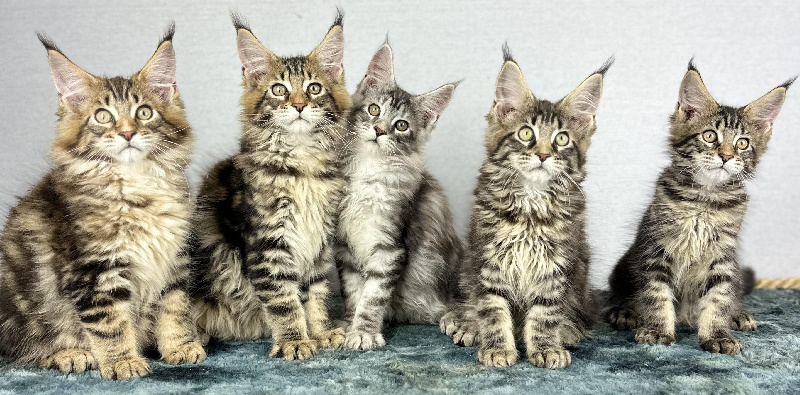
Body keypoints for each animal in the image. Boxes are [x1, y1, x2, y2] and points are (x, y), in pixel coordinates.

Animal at [0, 26, 205, 382]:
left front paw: (180, 346)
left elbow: (175, 308)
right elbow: (110, 323)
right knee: (24, 348)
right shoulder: (94, 271)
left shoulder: (175, 260)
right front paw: (123, 362)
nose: (127, 133)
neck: (137, 187)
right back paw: (70, 354)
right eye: (103, 116)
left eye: (144, 112)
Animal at [191, 13, 350, 362]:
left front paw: (320, 331)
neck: (303, 167)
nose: (300, 105)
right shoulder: (268, 245)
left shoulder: (319, 242)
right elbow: (284, 300)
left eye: (314, 88)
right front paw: (294, 340)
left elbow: (316, 293)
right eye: (279, 90)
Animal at [336, 43, 462, 352]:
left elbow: (373, 295)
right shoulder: (345, 245)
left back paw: (457, 321)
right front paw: (350, 324)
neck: (368, 168)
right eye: (374, 109)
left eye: (402, 125)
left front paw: (364, 332)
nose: (380, 130)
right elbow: (354, 291)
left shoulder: (389, 245)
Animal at [440, 47, 608, 372]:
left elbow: (545, 313)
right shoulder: (489, 259)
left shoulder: (556, 264)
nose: (542, 155)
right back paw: (467, 324)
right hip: (467, 265)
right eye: (526, 134)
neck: (531, 203)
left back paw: (568, 331)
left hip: (581, 272)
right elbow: (492, 309)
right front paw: (497, 348)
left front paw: (546, 348)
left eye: (561, 139)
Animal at [608, 62, 792, 356]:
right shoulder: (657, 248)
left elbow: (718, 299)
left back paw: (737, 315)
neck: (705, 199)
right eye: (709, 136)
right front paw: (657, 331)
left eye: (742, 143)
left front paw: (717, 334)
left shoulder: (723, 255)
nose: (726, 156)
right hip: (624, 267)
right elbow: (656, 294)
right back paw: (625, 312)